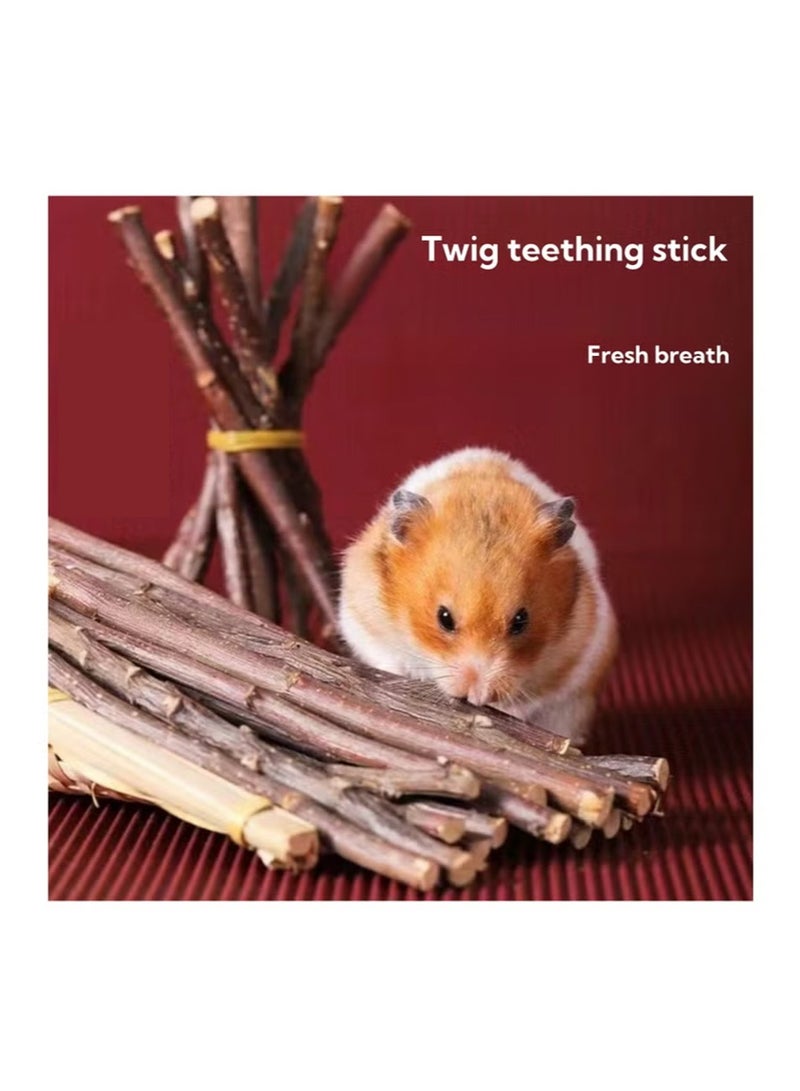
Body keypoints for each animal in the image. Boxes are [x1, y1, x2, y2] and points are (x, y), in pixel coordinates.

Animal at [338, 447, 618, 743]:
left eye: (521, 621)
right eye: (444, 618)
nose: (476, 693)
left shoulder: (576, 654)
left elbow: (534, 697)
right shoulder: (360, 617)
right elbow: (386, 658)